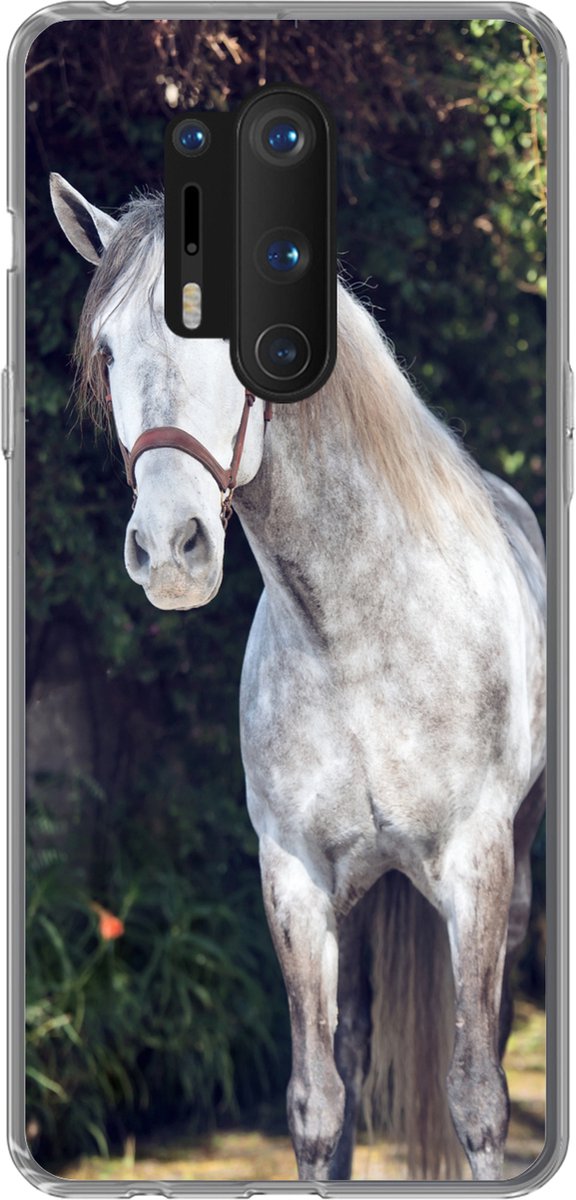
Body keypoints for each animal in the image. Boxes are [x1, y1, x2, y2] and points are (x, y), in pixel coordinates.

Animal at [50, 174, 546, 1182]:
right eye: (109, 351)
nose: (170, 550)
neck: (360, 637)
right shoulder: (294, 877)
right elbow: (318, 1104)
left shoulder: (477, 866)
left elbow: (479, 1099)